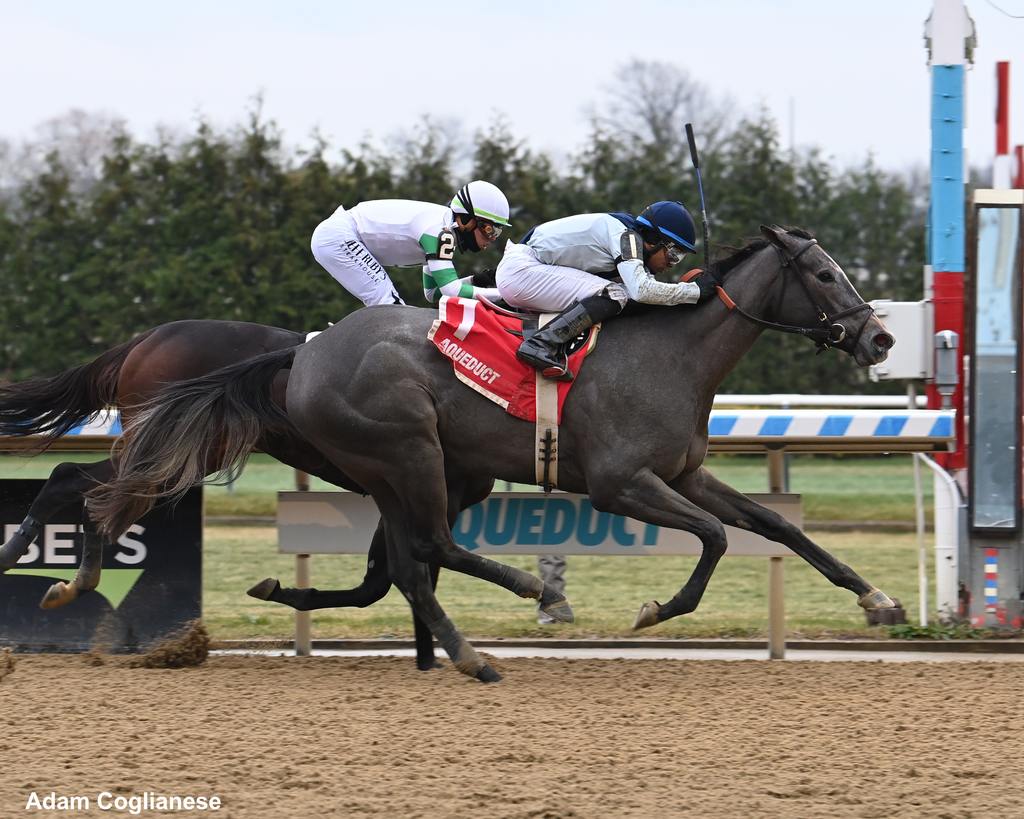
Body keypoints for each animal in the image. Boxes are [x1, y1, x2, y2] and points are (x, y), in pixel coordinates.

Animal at [94, 225, 897, 683]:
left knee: (406, 566)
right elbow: (714, 537)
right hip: (410, 452)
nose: (880, 337)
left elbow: (777, 526)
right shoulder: (618, 483)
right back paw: (510, 610)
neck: (670, 353)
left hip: (395, 470)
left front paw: (876, 598)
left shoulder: (685, 472)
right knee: (430, 550)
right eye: (824, 275)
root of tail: (307, 351)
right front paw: (654, 609)